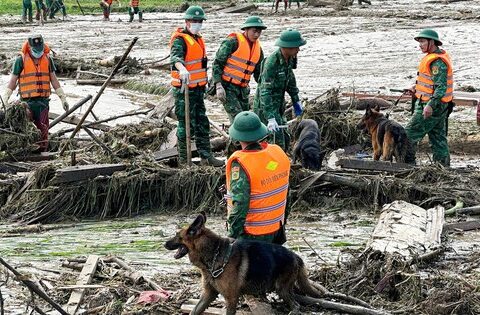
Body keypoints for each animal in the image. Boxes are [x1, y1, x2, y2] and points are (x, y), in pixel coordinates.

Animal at [164, 212, 322, 315]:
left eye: (177, 236)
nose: (164, 244)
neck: (213, 254)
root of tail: (296, 256)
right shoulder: (208, 295)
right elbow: (194, 311)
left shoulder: (231, 299)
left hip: (281, 288)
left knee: (296, 305)